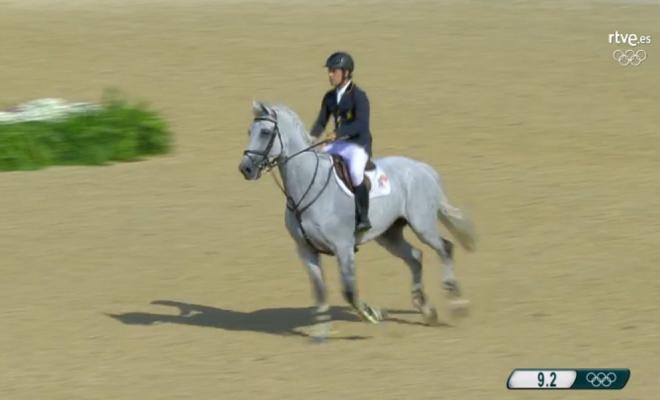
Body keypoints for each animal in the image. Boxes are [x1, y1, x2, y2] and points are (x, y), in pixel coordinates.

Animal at [240, 101, 476, 340]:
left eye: (265, 132)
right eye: (250, 132)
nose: (245, 169)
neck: (307, 187)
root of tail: (421, 168)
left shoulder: (343, 247)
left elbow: (348, 290)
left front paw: (372, 314)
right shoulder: (305, 250)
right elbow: (320, 290)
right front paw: (320, 332)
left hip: (422, 225)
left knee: (445, 248)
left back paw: (457, 304)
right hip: (389, 235)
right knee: (415, 257)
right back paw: (427, 310)